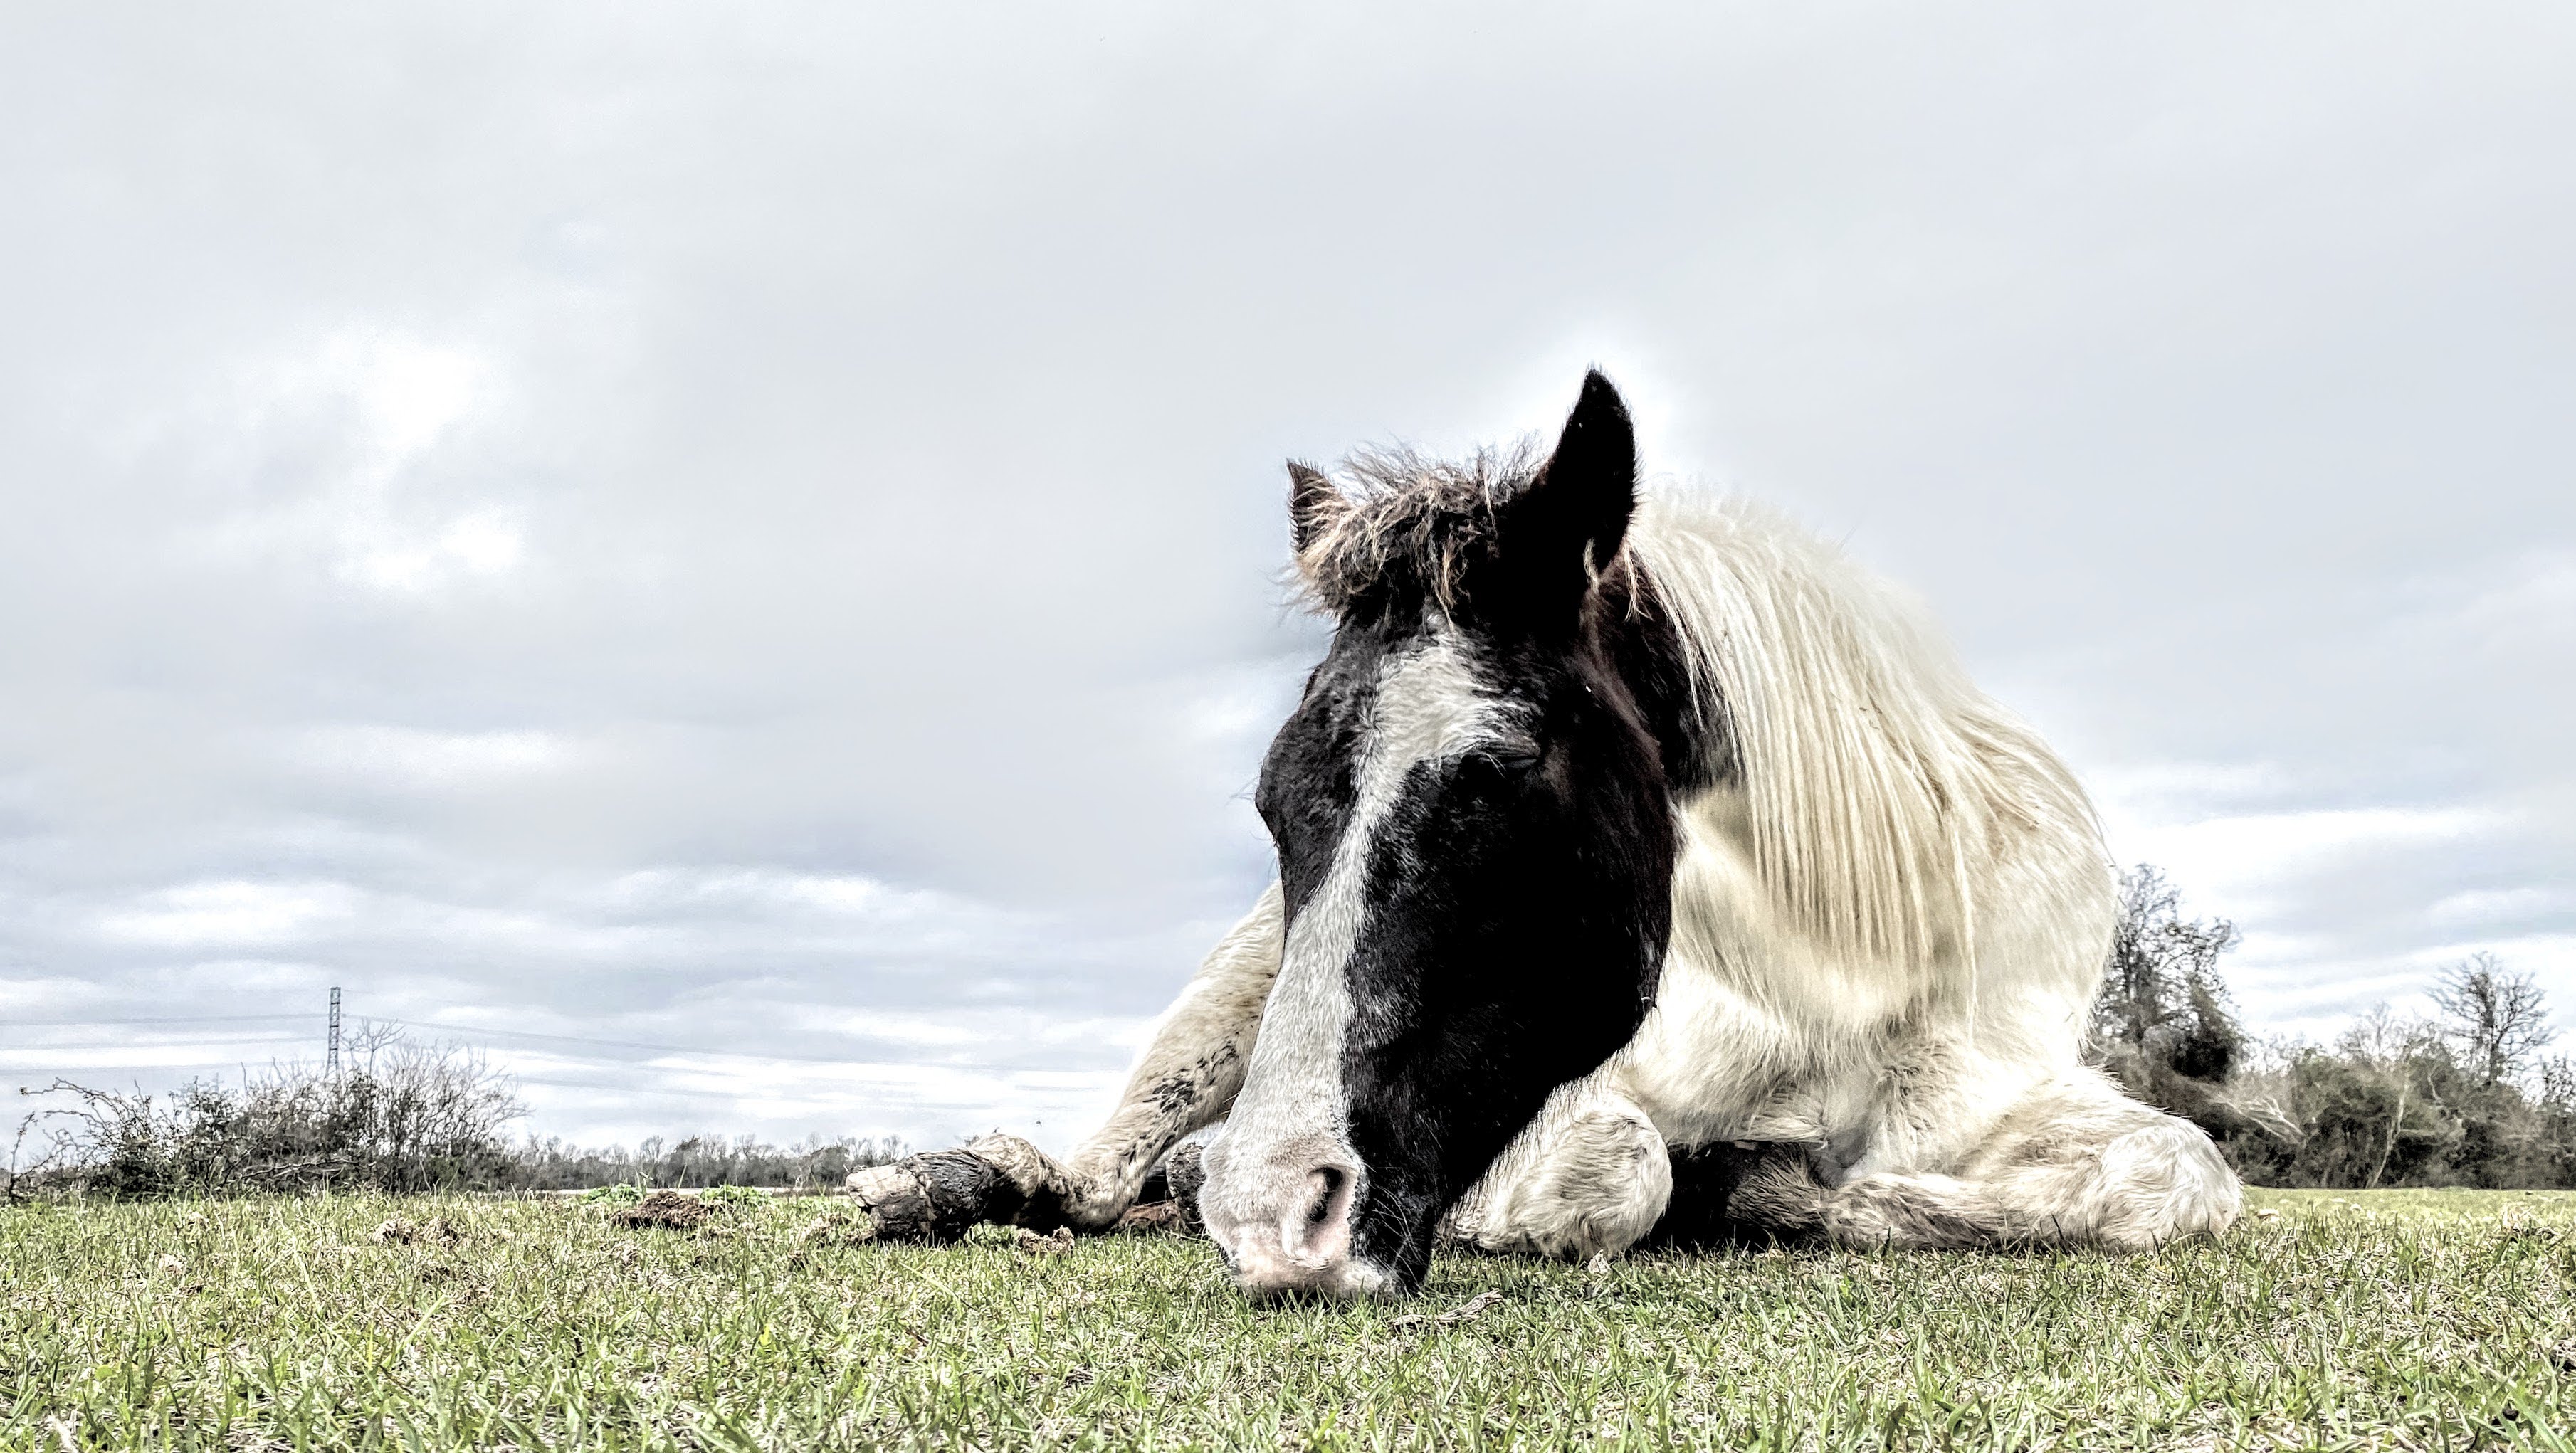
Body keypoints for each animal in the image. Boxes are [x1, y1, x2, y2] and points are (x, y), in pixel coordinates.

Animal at [848, 371, 2241, 1298]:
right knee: (1097, 1172)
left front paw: (1797, 1194)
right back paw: (956, 1184)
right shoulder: (1588, 1098)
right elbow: (1626, 1169)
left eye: (1503, 770)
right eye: (1268, 797)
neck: (1838, 978)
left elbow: (2177, 1177)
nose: (1277, 1217)